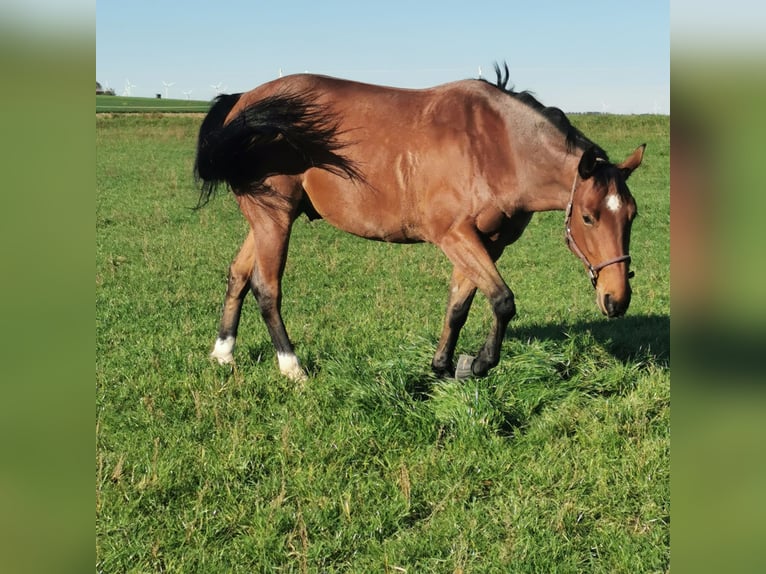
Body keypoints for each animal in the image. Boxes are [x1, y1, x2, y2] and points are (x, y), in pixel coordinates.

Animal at [194, 64, 645, 381]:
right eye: (588, 217)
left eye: (632, 215)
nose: (616, 299)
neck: (495, 146)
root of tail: (243, 103)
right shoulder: (456, 236)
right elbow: (502, 300)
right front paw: (481, 363)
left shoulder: (486, 242)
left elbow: (459, 306)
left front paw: (444, 365)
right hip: (275, 218)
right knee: (266, 288)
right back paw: (291, 367)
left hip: (264, 220)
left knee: (237, 275)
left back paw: (223, 354)